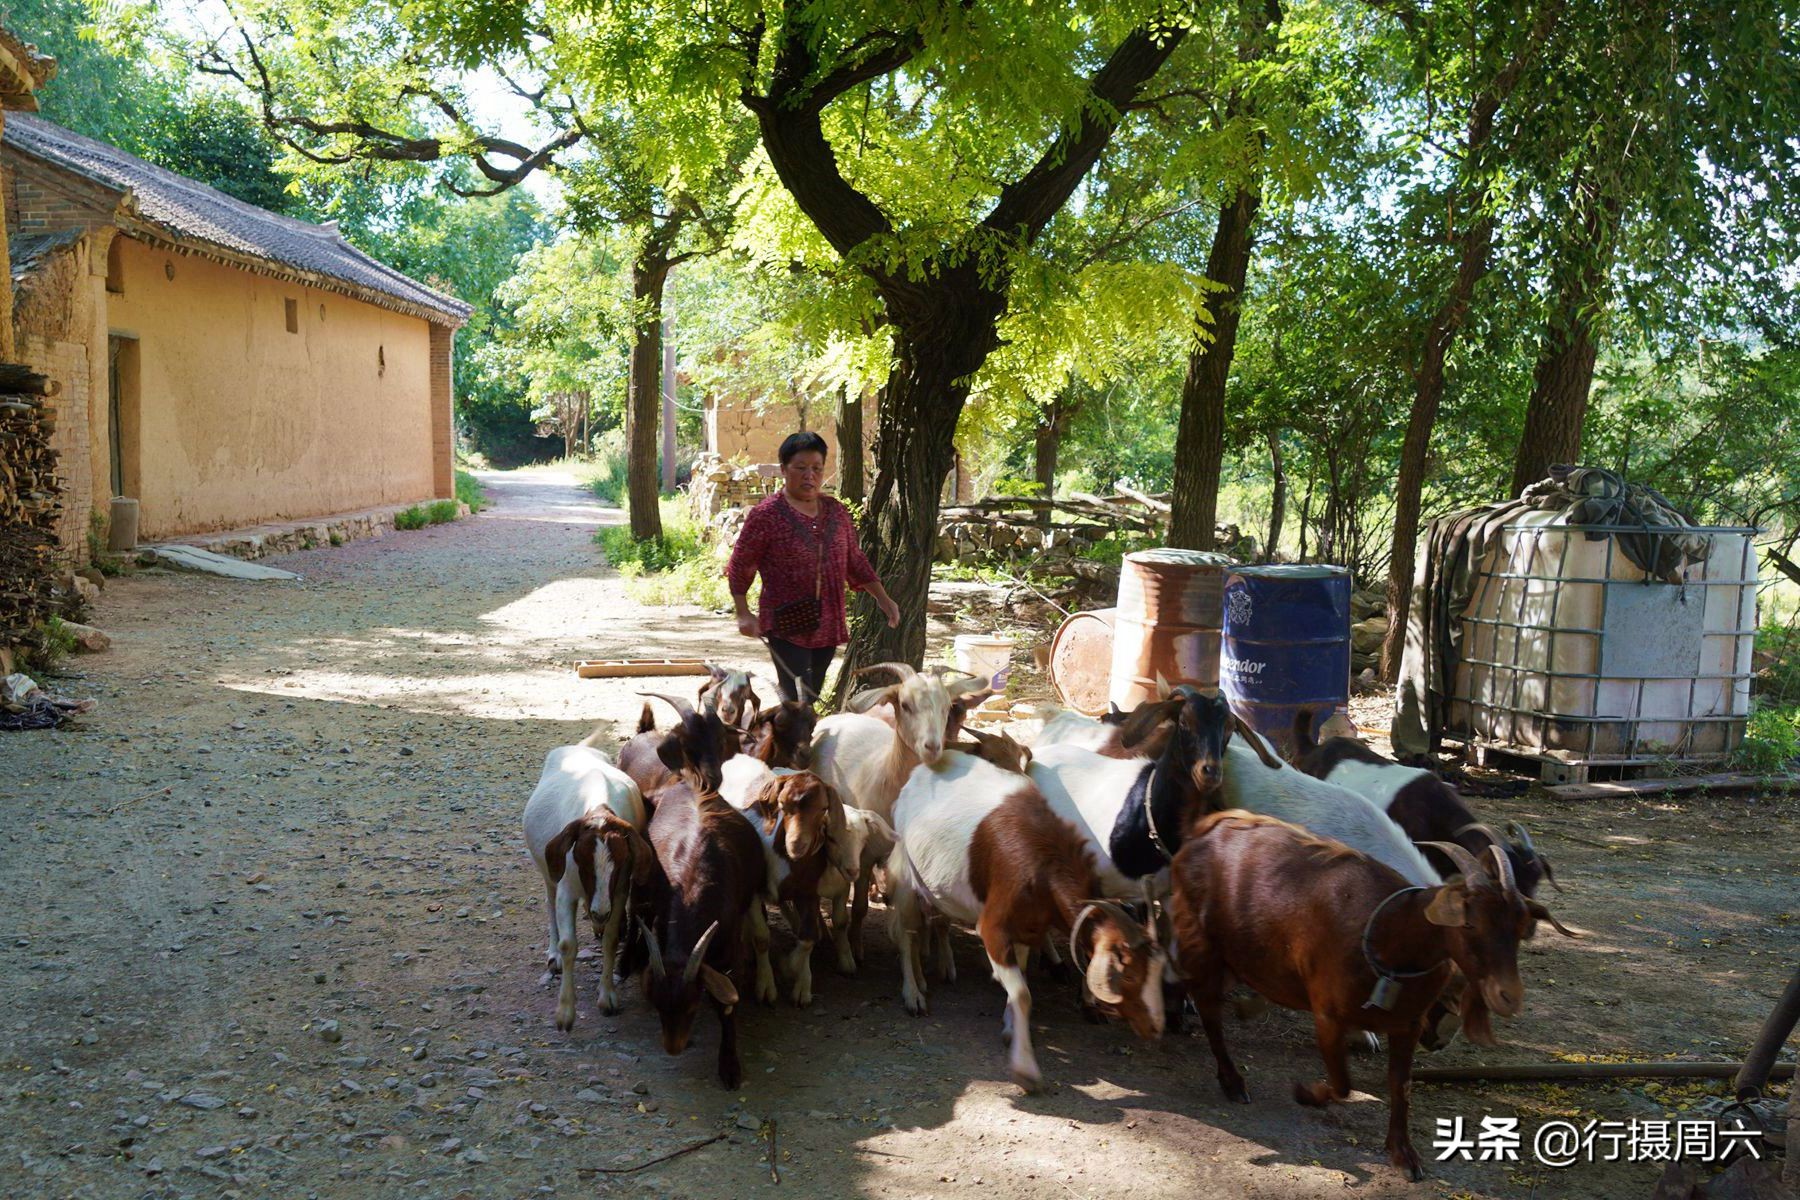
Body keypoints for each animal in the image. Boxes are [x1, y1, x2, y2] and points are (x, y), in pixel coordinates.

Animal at [885, 755, 1166, 1093]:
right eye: (1128, 975)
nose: (1156, 1028)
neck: (1046, 868)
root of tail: (919, 771)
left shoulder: (1026, 928)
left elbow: (1019, 979)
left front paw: (1009, 1027)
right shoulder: (993, 928)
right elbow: (1022, 993)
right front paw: (1026, 1070)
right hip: (905, 873)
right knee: (905, 933)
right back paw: (913, 994)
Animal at [1166, 813, 1576, 1180]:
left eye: (1520, 927)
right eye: (1469, 922)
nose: (1510, 996)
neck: (1386, 937)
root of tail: (1201, 832)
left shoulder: (1408, 1024)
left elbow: (1401, 1086)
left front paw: (1403, 1155)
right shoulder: (1327, 1016)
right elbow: (1343, 1084)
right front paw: (1304, 1092)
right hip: (1200, 941)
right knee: (1208, 1009)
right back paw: (1231, 1079)